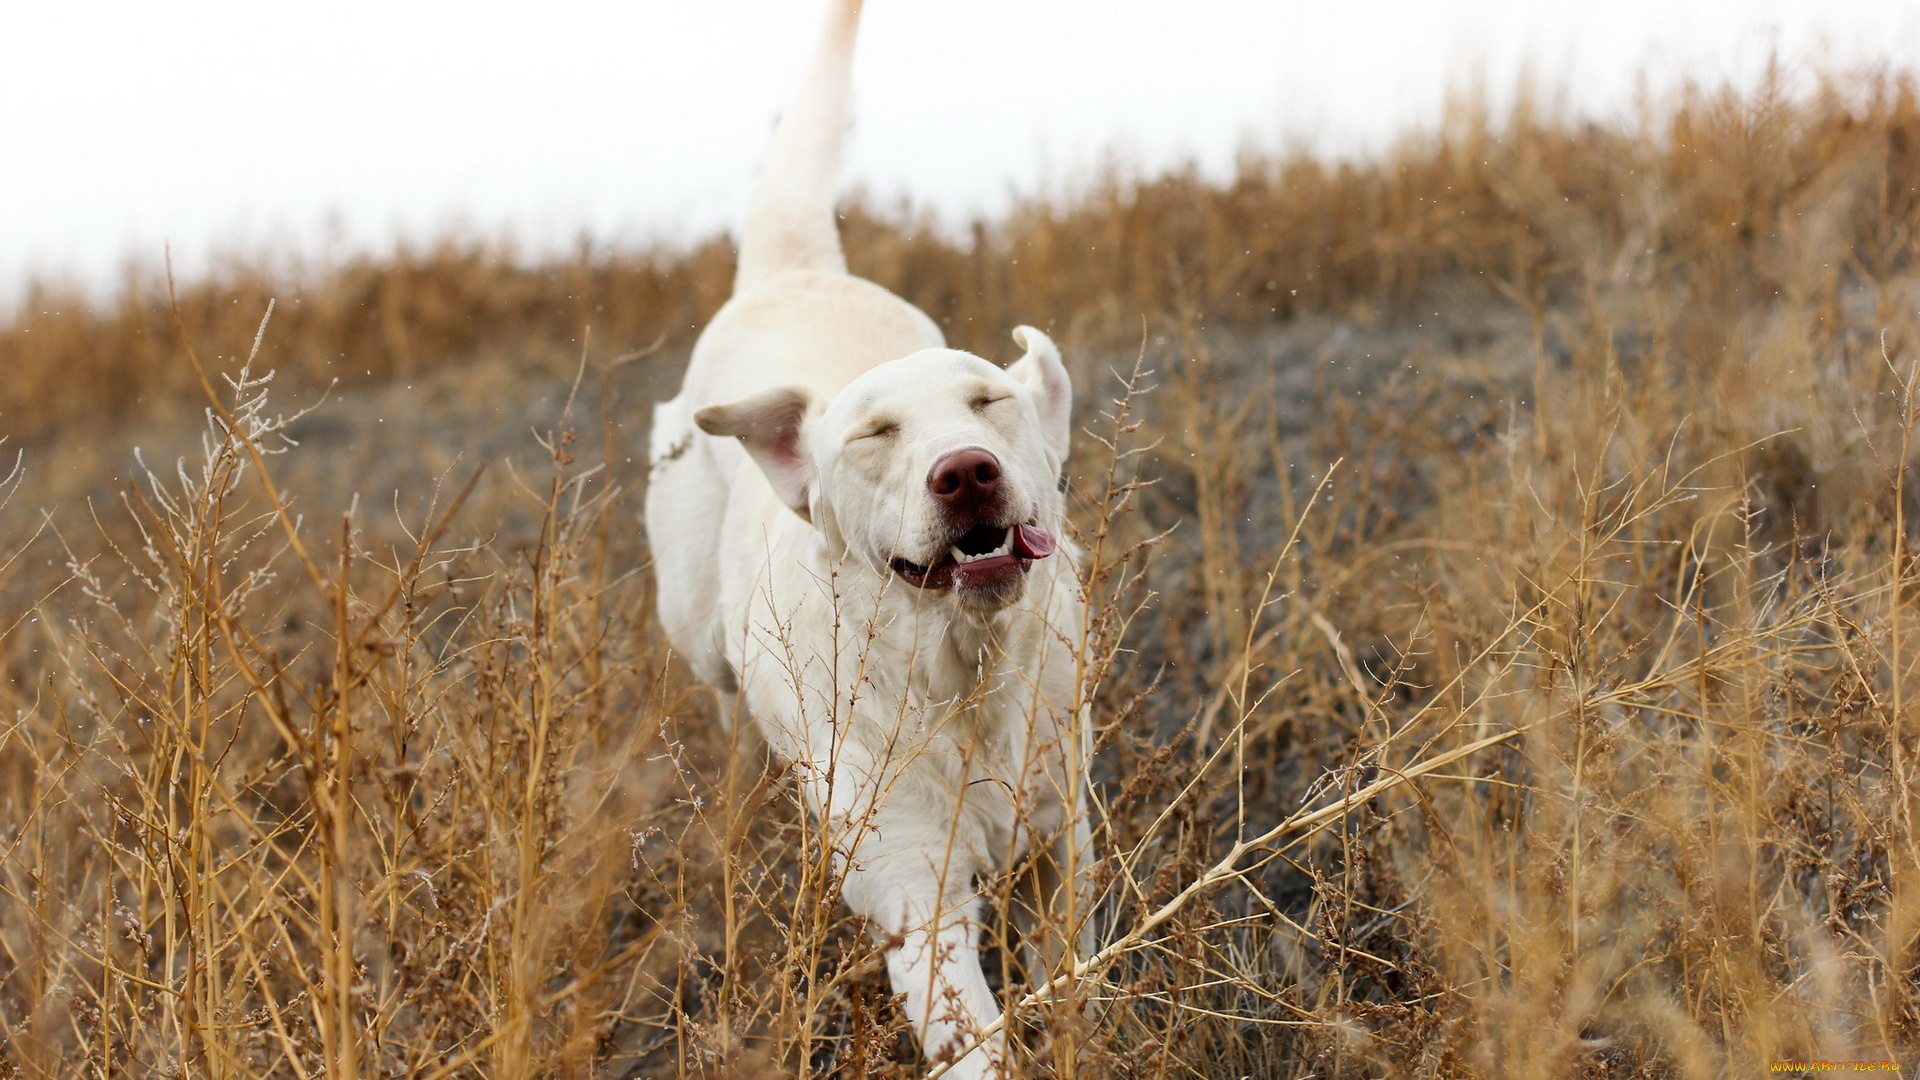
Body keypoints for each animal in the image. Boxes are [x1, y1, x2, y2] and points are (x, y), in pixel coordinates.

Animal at [645, 4, 1090, 1068]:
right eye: (874, 435)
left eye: (990, 401)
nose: (966, 471)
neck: (962, 673)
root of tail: (797, 271)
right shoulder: (915, 893)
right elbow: (974, 1042)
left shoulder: (1066, 844)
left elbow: (1073, 983)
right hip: (702, 634)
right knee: (726, 709)